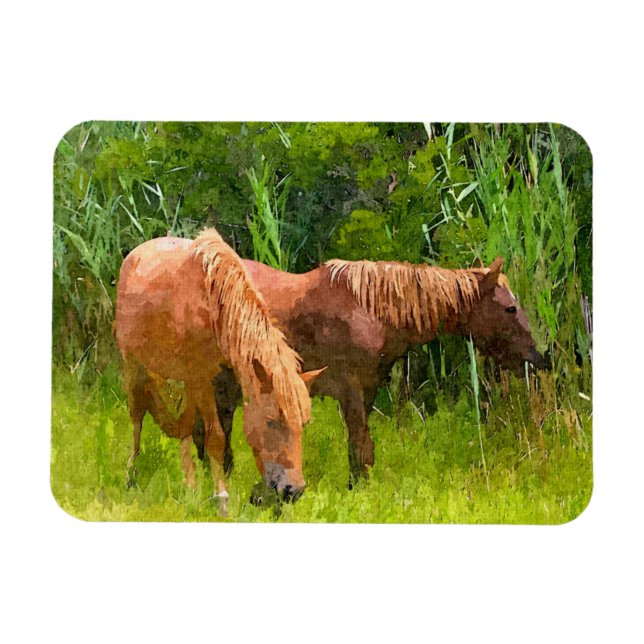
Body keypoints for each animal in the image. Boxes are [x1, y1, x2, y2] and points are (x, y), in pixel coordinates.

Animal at [114, 228, 324, 513]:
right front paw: (222, 498)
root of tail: (135, 254)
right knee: (137, 418)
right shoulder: (202, 379)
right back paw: (131, 476)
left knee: (186, 429)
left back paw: (189, 487)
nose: (293, 490)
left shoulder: (224, 381)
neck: (213, 305)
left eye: (304, 423)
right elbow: (215, 437)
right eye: (272, 422)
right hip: (135, 367)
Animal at [213, 255, 545, 481]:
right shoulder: (350, 389)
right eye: (510, 308)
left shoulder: (368, 390)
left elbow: (364, 449)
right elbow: (358, 447)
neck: (371, 311)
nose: (537, 358)